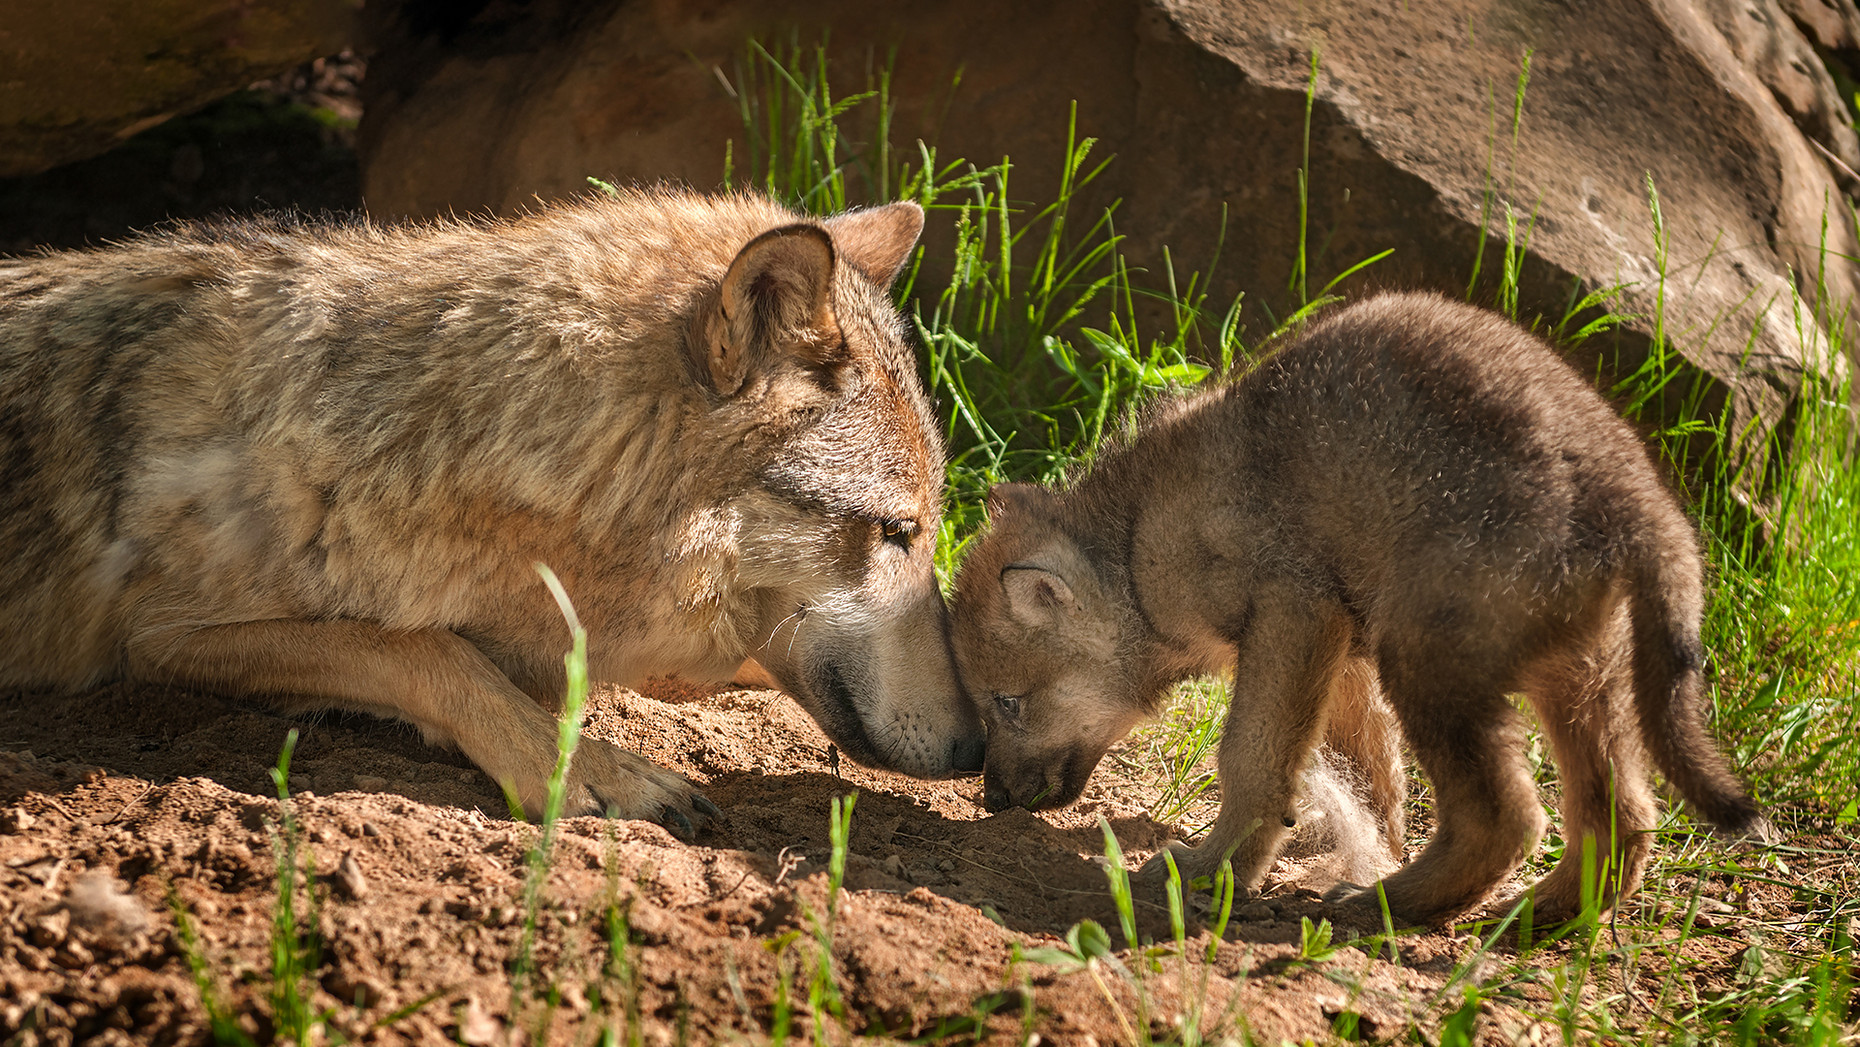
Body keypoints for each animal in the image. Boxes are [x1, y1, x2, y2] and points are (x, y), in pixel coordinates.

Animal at [0, 184, 989, 833]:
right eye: (897, 532)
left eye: (927, 533)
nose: (977, 749)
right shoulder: (162, 638)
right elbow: (422, 647)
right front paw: (594, 769)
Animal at [952, 293, 1763, 926]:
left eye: (1007, 702)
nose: (991, 800)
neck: (1137, 538)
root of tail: (1634, 500)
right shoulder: (1340, 647)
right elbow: (1371, 777)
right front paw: (1353, 841)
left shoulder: (1294, 612)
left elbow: (1253, 759)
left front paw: (1215, 871)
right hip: (1578, 682)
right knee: (1620, 820)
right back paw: (1531, 917)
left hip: (1430, 665)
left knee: (1508, 818)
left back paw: (1386, 904)